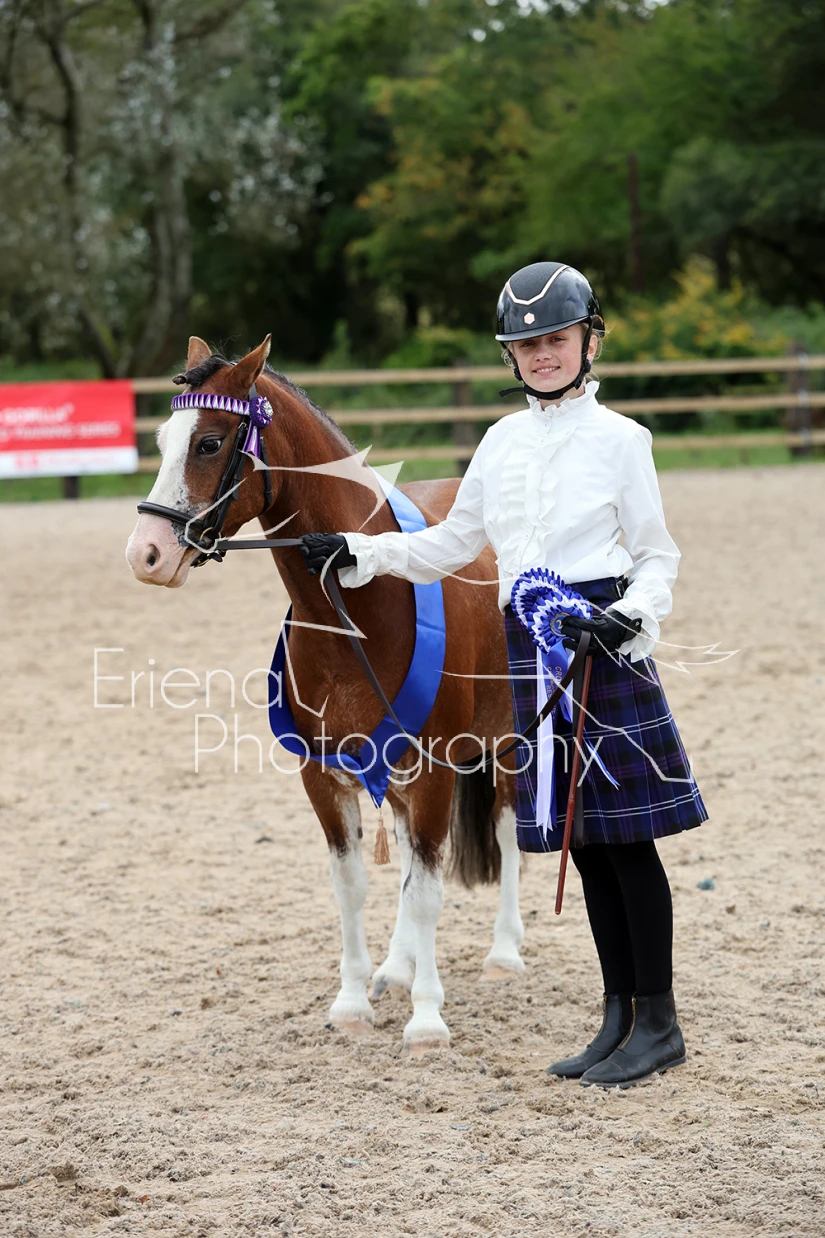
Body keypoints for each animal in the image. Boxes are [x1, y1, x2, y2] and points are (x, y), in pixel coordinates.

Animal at [126, 334, 526, 1054]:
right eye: (165, 439)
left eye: (209, 442)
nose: (145, 553)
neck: (358, 609)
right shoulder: (324, 774)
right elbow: (354, 885)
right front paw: (353, 1001)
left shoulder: (436, 771)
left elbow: (429, 890)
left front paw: (427, 1018)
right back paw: (396, 967)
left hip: (509, 743)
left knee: (508, 835)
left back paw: (503, 953)